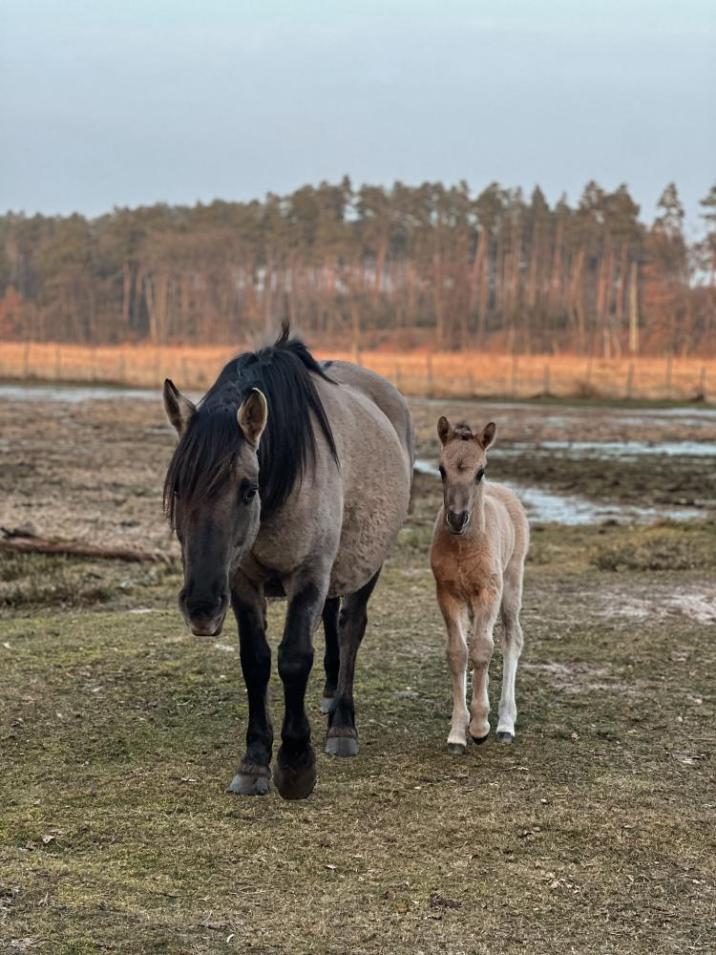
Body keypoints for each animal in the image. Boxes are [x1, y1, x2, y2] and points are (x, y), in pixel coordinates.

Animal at [159, 326, 412, 800]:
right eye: (179, 488)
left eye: (248, 489)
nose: (201, 607)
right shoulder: (242, 582)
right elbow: (255, 661)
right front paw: (254, 761)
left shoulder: (308, 574)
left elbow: (294, 657)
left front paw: (295, 764)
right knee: (332, 620)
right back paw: (330, 696)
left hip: (369, 564)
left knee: (351, 627)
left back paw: (342, 723)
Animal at [428, 416, 528, 756]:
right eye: (441, 469)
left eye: (480, 471)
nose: (457, 518)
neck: (463, 546)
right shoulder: (447, 593)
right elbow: (458, 652)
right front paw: (458, 733)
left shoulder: (489, 592)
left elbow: (484, 649)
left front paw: (481, 726)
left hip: (511, 585)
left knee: (512, 639)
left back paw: (506, 724)